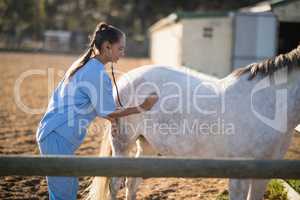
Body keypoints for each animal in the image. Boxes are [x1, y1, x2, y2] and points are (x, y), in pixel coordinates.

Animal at [84, 45, 300, 200]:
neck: (265, 103)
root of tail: (124, 79)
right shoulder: (239, 175)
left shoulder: (263, 175)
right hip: (122, 143)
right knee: (115, 184)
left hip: (147, 144)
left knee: (132, 182)